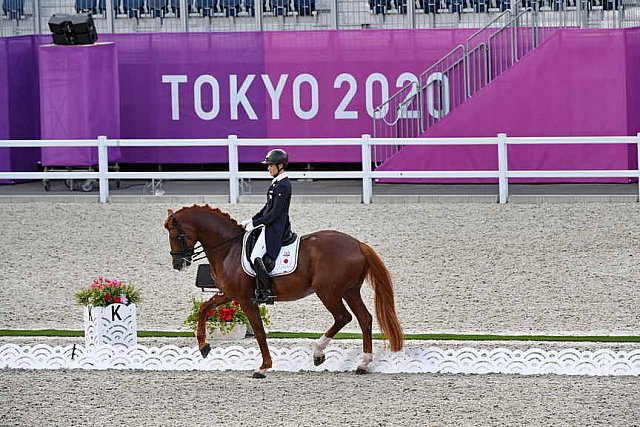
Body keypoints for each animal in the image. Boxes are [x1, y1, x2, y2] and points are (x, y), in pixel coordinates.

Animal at [165, 206, 404, 380]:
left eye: (176, 235)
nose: (178, 264)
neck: (228, 249)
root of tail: (357, 244)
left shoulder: (245, 299)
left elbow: (259, 332)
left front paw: (263, 368)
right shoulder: (229, 295)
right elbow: (204, 309)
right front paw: (204, 347)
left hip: (328, 292)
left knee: (343, 317)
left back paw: (318, 353)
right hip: (349, 291)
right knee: (364, 318)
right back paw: (363, 363)